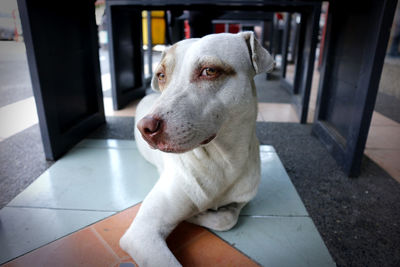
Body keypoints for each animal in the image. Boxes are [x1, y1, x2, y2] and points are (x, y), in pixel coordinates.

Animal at [120, 32, 274, 266]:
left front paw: (197, 215)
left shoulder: (241, 200)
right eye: (161, 75)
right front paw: (193, 214)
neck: (220, 160)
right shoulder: (142, 233)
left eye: (209, 71)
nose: (145, 128)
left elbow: (227, 219)